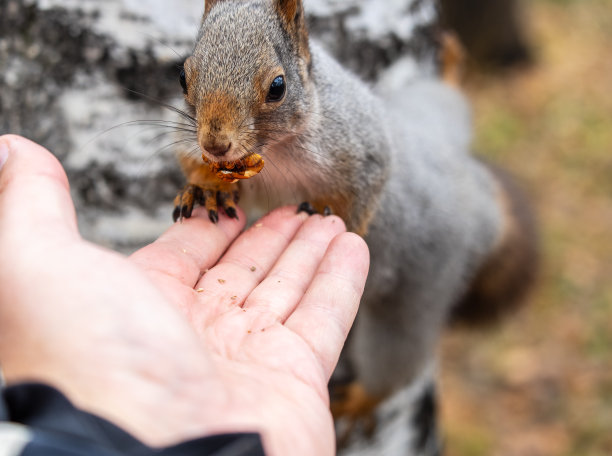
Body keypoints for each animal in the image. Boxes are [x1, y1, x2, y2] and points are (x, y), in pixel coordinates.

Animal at [172, 0, 536, 450]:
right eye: (183, 76)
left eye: (277, 86)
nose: (215, 144)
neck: (278, 152)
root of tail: (478, 200)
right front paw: (206, 188)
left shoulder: (363, 149)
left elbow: (367, 191)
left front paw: (338, 224)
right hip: (425, 113)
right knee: (447, 106)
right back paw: (451, 70)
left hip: (420, 292)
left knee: (398, 356)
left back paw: (362, 399)